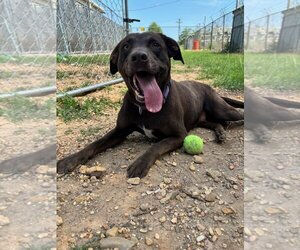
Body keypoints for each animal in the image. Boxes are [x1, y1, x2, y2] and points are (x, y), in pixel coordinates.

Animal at [56, 32, 244, 178]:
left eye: (155, 44)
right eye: (126, 46)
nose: (139, 56)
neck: (145, 108)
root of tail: (208, 86)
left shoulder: (179, 135)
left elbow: (156, 146)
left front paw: (140, 162)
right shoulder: (119, 131)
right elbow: (95, 143)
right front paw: (70, 160)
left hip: (222, 109)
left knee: (238, 115)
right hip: (202, 118)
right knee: (216, 123)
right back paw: (220, 132)